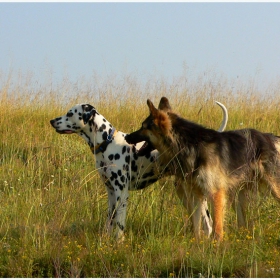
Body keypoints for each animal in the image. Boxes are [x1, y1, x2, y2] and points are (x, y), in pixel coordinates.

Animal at [50, 100, 228, 241]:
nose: (52, 121)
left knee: (208, 223)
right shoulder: (111, 193)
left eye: (70, 113)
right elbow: (109, 221)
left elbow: (119, 224)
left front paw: (118, 243)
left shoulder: (122, 193)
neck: (107, 142)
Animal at [126, 97, 280, 240]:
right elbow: (196, 225)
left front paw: (217, 247)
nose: (127, 137)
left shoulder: (216, 193)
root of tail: (269, 137)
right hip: (238, 195)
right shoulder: (195, 194)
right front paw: (198, 245)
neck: (189, 145)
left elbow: (217, 227)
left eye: (143, 126)